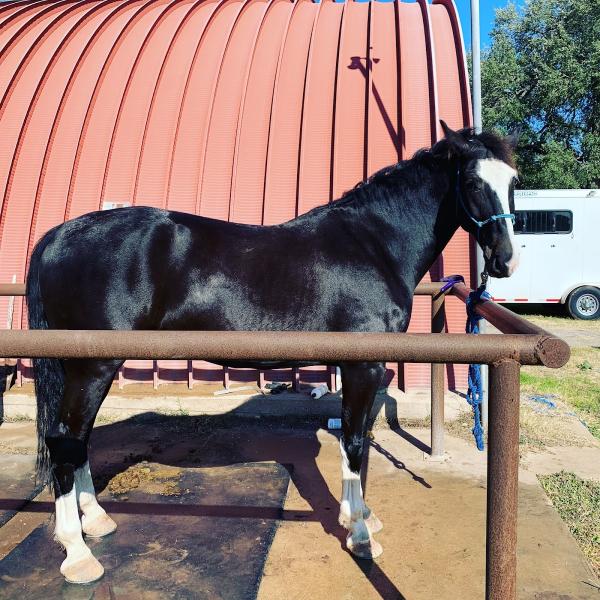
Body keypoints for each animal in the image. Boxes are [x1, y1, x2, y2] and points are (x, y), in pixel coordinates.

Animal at [25, 122, 516, 580]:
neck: (374, 245)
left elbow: (357, 437)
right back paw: (78, 553)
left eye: (513, 181)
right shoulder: (364, 366)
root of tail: (58, 235)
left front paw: (360, 516)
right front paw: (359, 535)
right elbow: (355, 442)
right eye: (473, 183)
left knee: (78, 440)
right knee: (65, 442)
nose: (505, 261)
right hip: (93, 366)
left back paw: (97, 520)